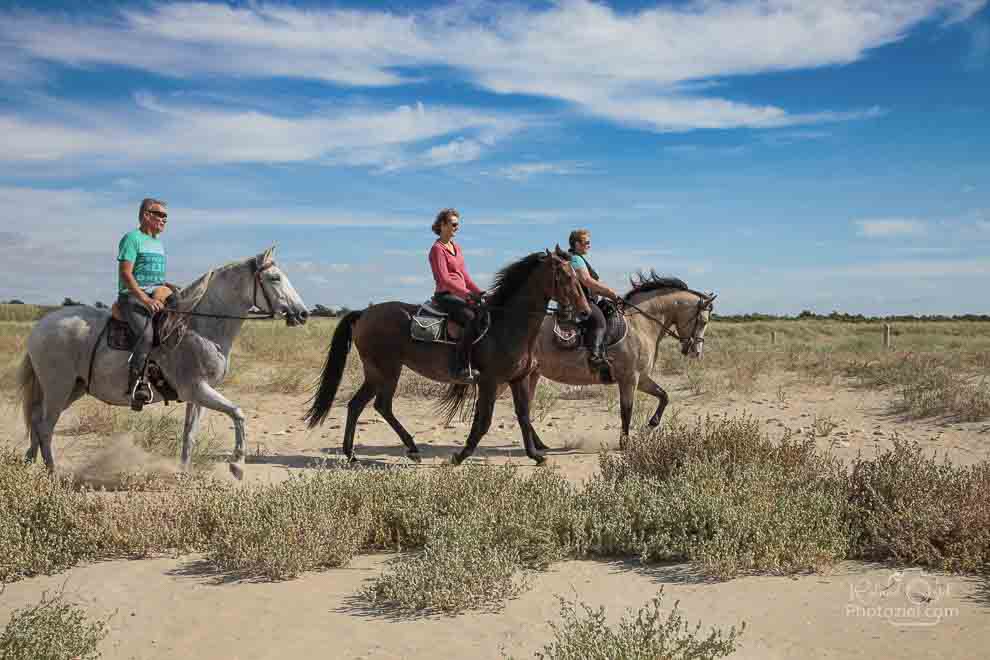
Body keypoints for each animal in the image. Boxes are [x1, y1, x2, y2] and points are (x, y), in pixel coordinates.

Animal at [15, 245, 308, 476]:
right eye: (274, 278)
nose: (303, 313)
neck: (200, 328)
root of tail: (40, 326)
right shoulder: (198, 389)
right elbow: (238, 413)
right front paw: (237, 466)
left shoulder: (196, 395)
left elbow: (189, 435)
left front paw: (184, 474)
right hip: (58, 388)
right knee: (45, 427)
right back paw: (53, 472)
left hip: (72, 389)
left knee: (37, 421)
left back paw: (30, 463)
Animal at [302, 246, 592, 464]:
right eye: (565, 276)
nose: (585, 312)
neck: (507, 324)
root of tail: (364, 313)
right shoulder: (489, 381)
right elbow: (484, 422)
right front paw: (460, 456)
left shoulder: (518, 379)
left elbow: (523, 416)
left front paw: (535, 455)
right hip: (385, 370)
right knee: (377, 405)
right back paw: (396, 449)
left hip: (378, 372)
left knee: (360, 405)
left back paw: (359, 453)